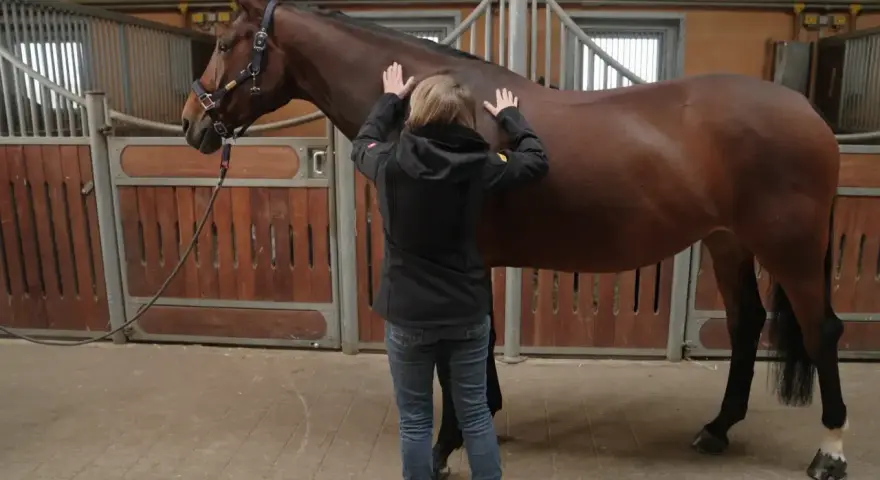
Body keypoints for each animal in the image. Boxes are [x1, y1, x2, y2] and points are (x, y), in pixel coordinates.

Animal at [180, 1, 848, 479]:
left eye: (223, 45)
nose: (191, 124)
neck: (444, 117)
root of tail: (809, 115)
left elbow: (458, 350)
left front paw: (446, 446)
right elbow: (480, 344)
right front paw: (485, 418)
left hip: (790, 250)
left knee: (821, 331)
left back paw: (831, 451)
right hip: (727, 242)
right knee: (745, 324)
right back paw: (717, 429)